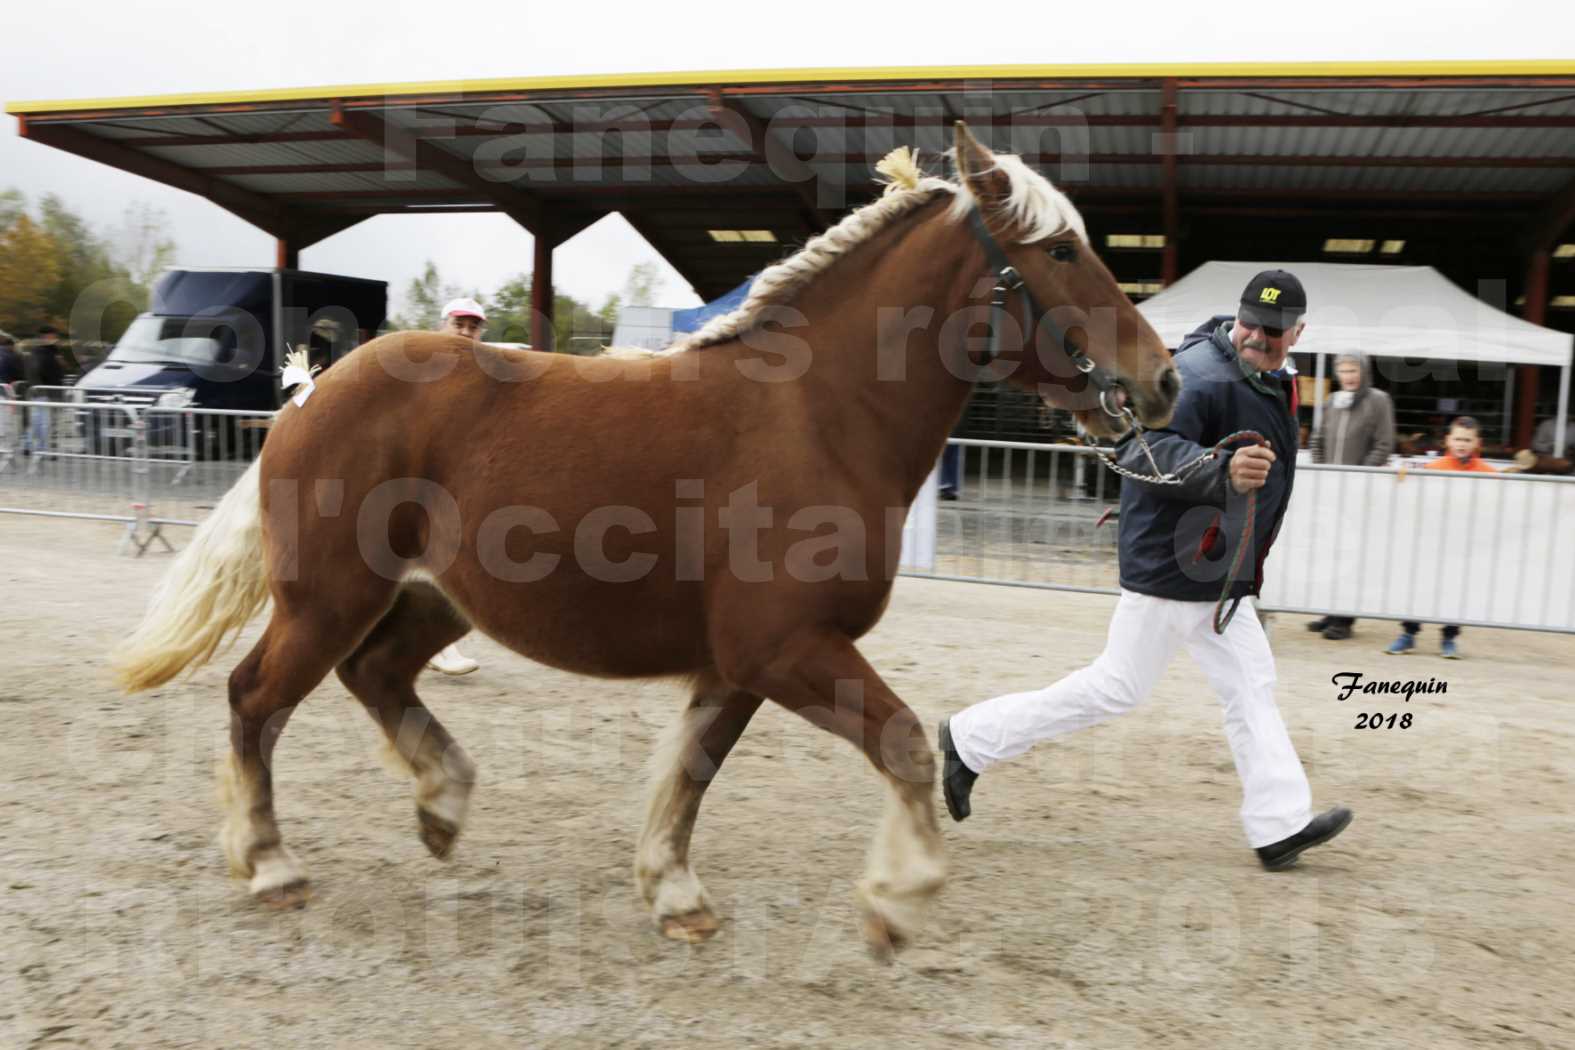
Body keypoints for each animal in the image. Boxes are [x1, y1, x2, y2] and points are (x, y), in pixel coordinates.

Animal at [119, 125, 1184, 963]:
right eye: (1059, 253)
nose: (1163, 379)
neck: (817, 416)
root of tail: (312, 390)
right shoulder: (784, 648)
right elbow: (904, 747)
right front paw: (897, 903)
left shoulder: (740, 663)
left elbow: (690, 775)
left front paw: (674, 893)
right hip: (328, 597)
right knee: (255, 698)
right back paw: (271, 864)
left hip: (427, 600)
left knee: (375, 675)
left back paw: (442, 805)